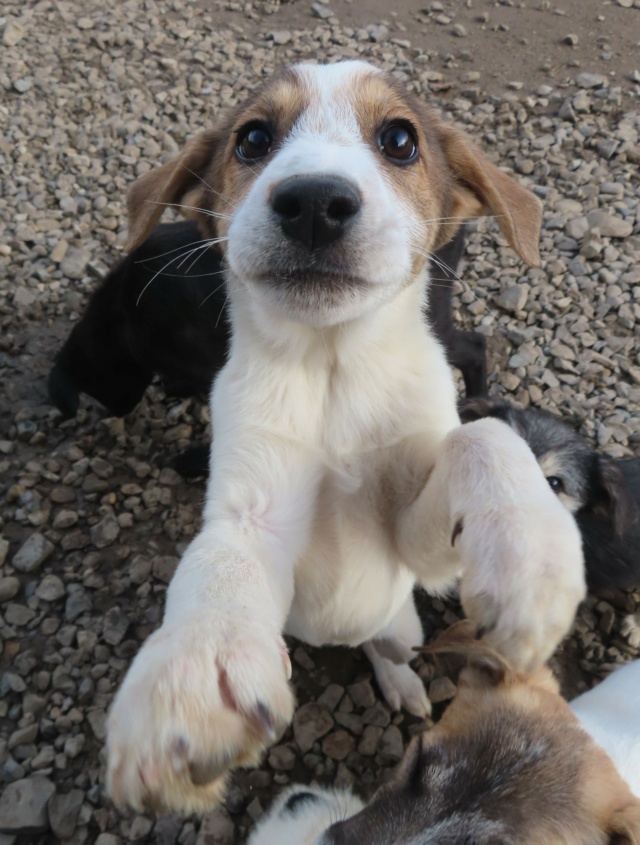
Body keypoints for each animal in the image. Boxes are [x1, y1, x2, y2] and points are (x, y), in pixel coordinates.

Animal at [105, 62, 584, 816]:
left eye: (399, 140)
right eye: (253, 138)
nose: (313, 202)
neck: (333, 376)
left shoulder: (417, 546)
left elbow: (480, 433)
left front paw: (530, 551)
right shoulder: (254, 512)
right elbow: (220, 561)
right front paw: (195, 671)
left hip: (403, 618)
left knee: (388, 647)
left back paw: (405, 682)